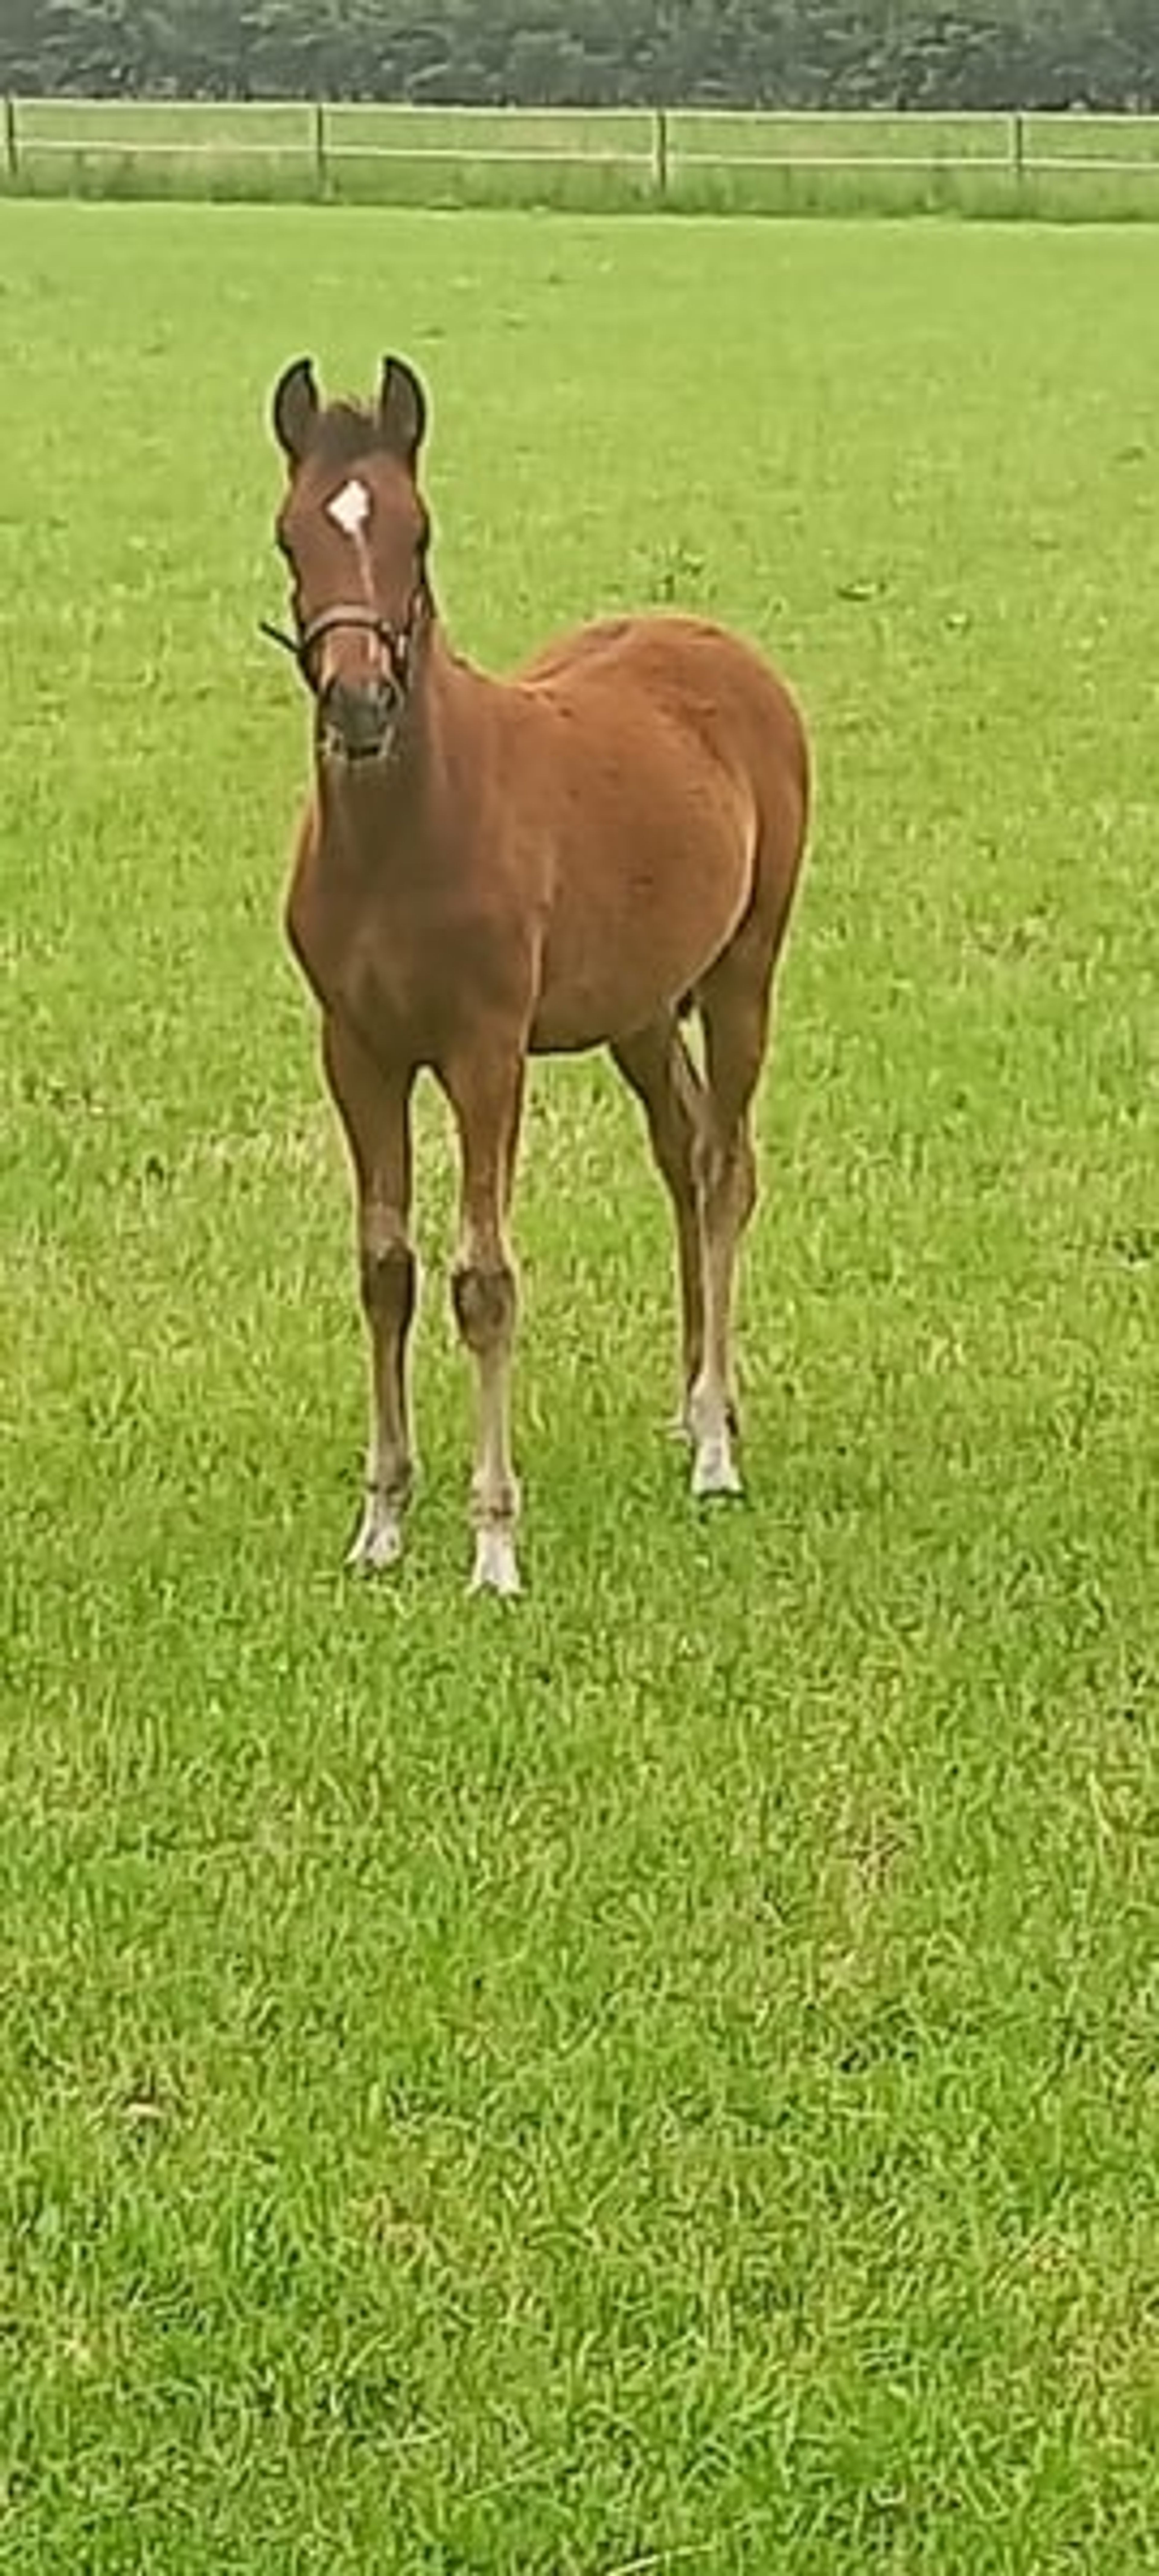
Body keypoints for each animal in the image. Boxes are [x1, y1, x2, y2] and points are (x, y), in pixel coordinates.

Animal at [264, 354, 810, 1598]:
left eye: (418, 533)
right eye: (290, 535)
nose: (358, 705)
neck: (404, 835)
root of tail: (723, 649)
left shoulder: (485, 1051)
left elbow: (484, 1280)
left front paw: (494, 1542)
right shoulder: (355, 1050)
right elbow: (385, 1266)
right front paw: (381, 1523)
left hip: (743, 971)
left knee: (726, 1166)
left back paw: (716, 1443)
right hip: (640, 1010)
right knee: (682, 1154)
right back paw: (691, 1404)